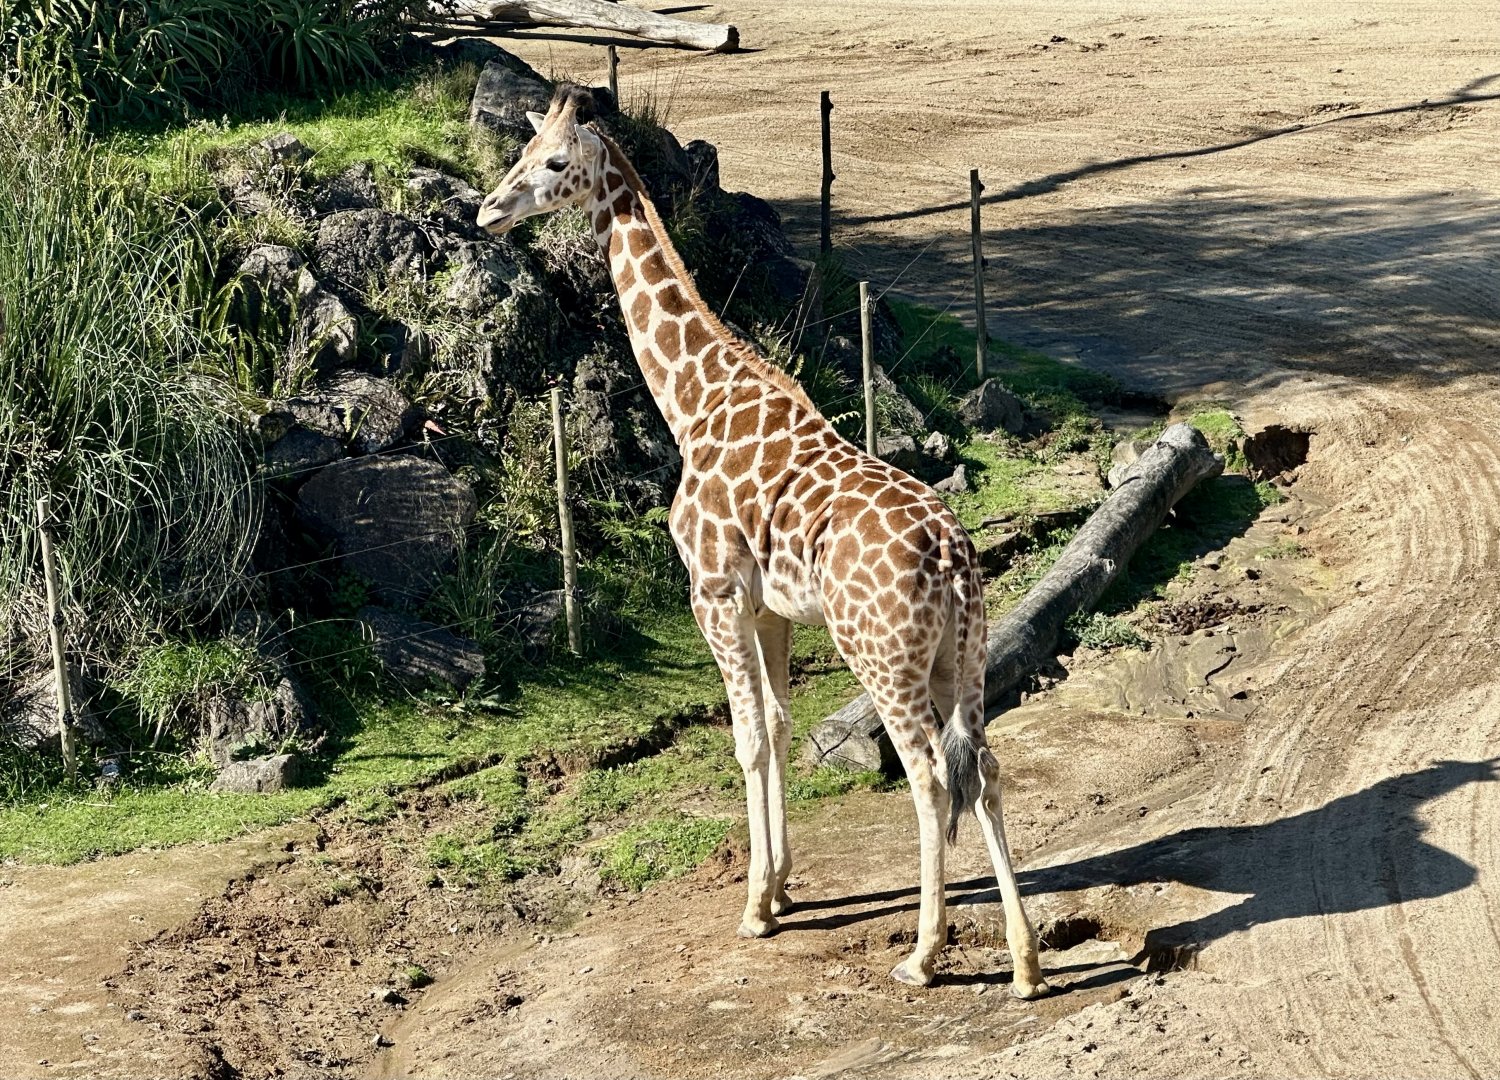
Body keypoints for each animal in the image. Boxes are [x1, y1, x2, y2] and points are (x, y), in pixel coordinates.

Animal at [477, 84, 1048, 998]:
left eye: (554, 163)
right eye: (521, 155)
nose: (489, 210)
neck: (691, 400)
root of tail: (954, 558)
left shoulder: (711, 590)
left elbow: (746, 737)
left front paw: (753, 908)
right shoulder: (770, 605)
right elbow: (779, 724)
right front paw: (780, 888)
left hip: (880, 655)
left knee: (928, 776)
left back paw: (924, 955)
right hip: (962, 655)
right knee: (983, 768)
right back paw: (1025, 962)